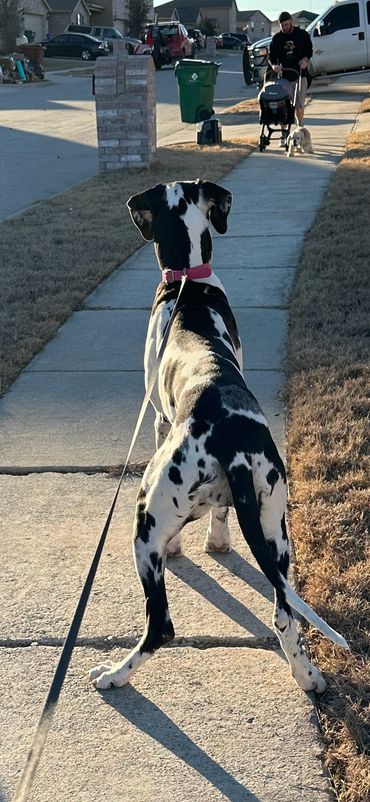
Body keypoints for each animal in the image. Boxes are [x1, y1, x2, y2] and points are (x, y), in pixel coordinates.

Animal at [89, 178, 346, 692]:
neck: (189, 283)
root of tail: (234, 448)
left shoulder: (158, 419)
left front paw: (185, 548)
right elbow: (222, 516)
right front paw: (219, 541)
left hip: (146, 520)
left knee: (161, 625)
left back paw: (115, 675)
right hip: (275, 526)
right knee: (284, 614)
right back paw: (307, 676)